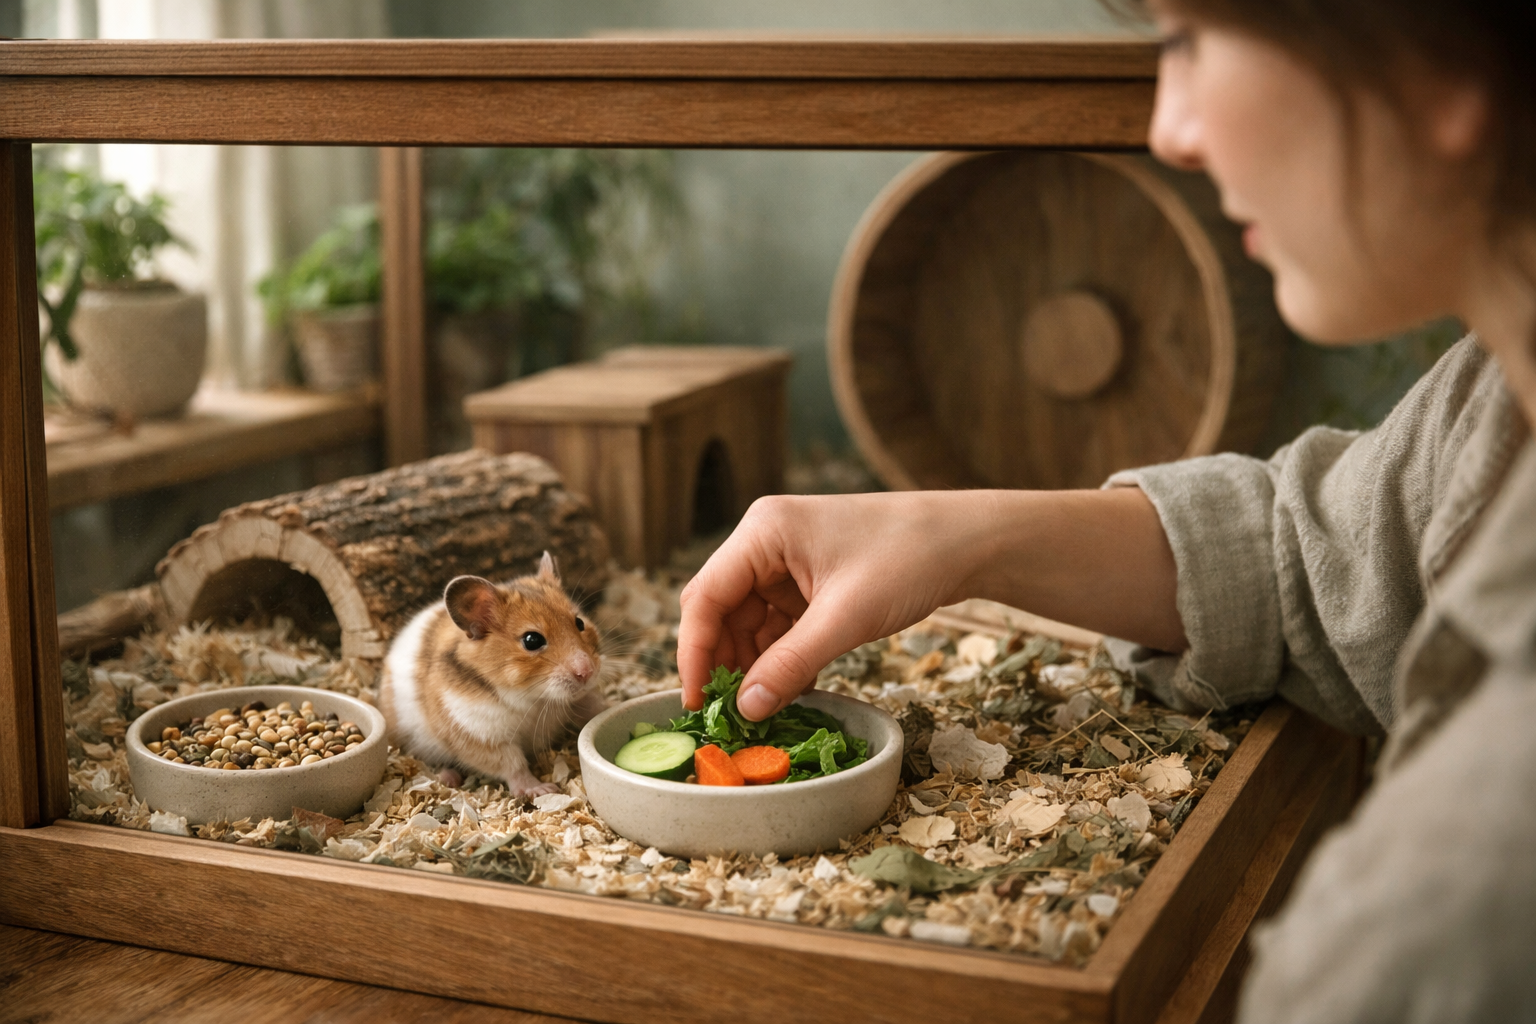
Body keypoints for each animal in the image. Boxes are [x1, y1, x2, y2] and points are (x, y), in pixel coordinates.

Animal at [378, 551, 604, 797]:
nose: (587, 672)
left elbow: (591, 707)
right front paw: (542, 789)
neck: (535, 699)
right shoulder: (481, 736)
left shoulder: (576, 701)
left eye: (579, 622)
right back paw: (450, 778)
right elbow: (513, 764)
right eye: (532, 640)